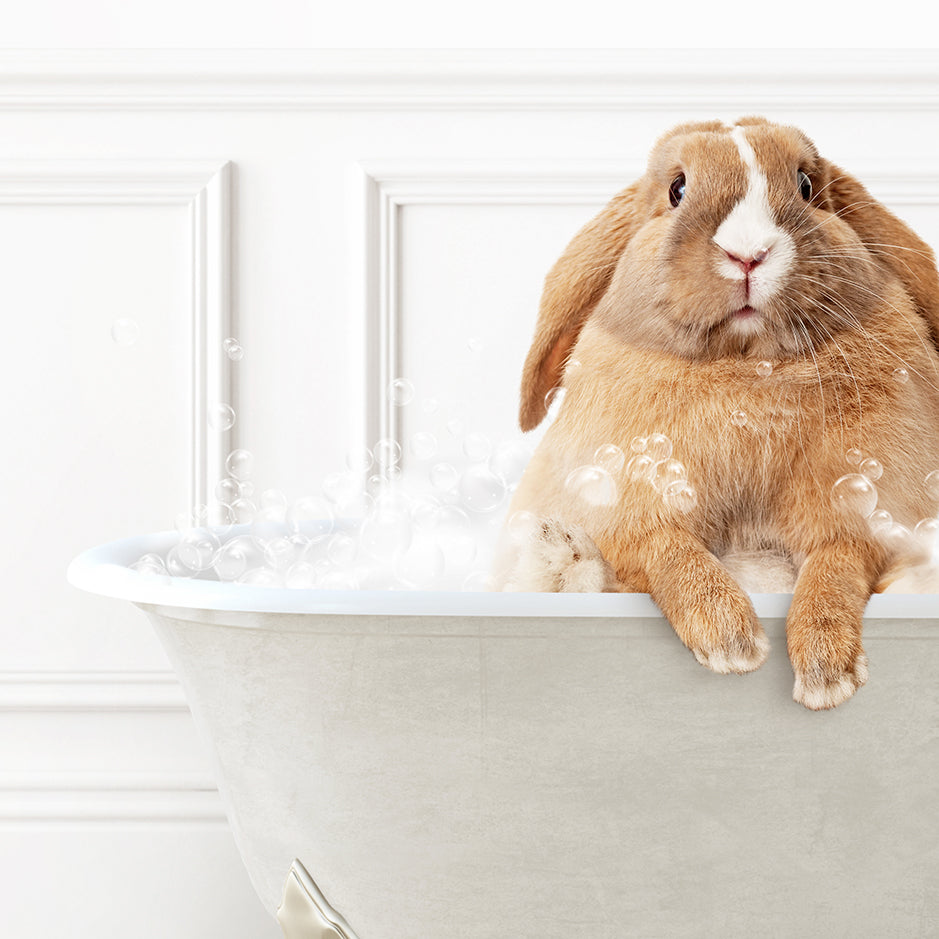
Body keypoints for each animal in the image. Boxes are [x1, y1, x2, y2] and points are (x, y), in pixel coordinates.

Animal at [504, 114, 939, 708]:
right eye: (677, 189)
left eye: (806, 185)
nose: (748, 254)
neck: (746, 369)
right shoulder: (629, 504)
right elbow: (668, 550)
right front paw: (732, 642)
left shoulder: (860, 511)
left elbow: (835, 568)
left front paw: (826, 674)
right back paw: (560, 553)